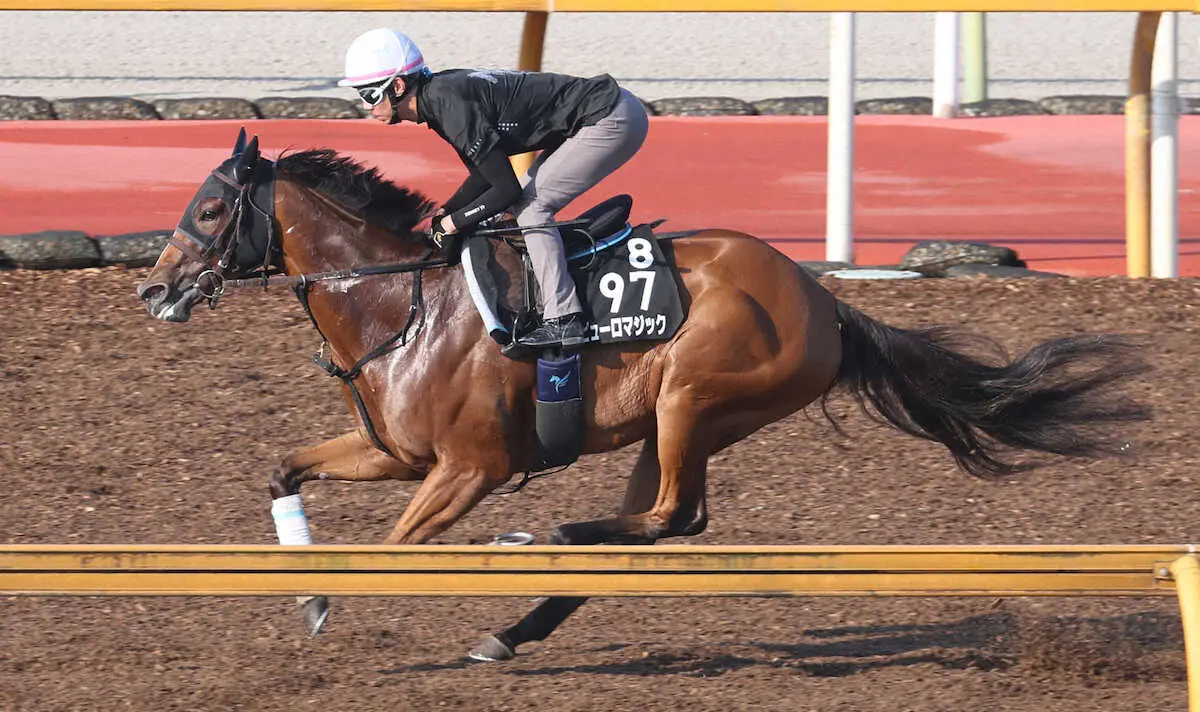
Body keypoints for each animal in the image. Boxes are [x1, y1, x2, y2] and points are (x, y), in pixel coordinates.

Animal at [140, 132, 1152, 662]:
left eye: (209, 209)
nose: (153, 288)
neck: (401, 302)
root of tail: (825, 298)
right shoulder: (397, 452)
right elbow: (283, 469)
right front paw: (309, 595)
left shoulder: (469, 468)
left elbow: (393, 552)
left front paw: (334, 595)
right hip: (664, 422)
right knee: (656, 526)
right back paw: (516, 624)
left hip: (694, 397)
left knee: (673, 516)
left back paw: (544, 541)